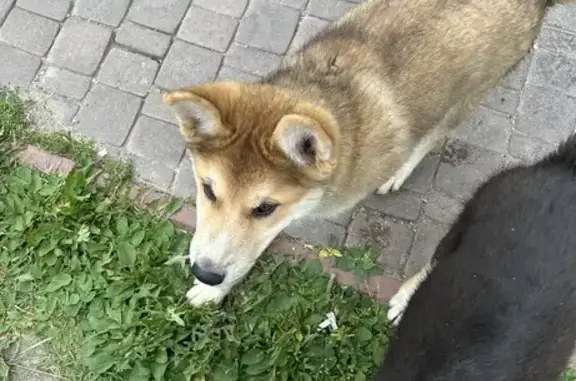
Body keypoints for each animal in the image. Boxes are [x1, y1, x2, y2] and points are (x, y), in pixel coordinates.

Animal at [161, 0, 572, 306]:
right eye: (208, 190)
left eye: (264, 207)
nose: (205, 273)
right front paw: (215, 290)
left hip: (465, 97)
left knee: (433, 135)